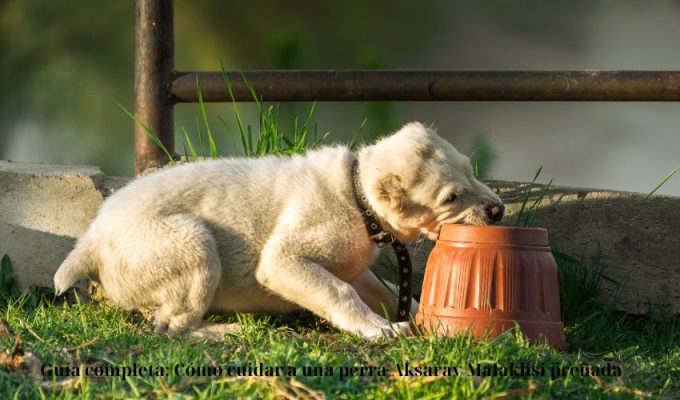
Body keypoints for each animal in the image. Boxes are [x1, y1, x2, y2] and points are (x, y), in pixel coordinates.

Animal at [53, 121, 502, 338]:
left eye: (472, 170)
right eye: (450, 198)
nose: (497, 210)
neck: (356, 194)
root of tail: (89, 242)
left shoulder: (355, 266)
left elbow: (386, 291)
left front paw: (410, 318)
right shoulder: (284, 259)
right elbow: (339, 293)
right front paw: (378, 330)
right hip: (191, 241)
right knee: (171, 328)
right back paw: (224, 332)